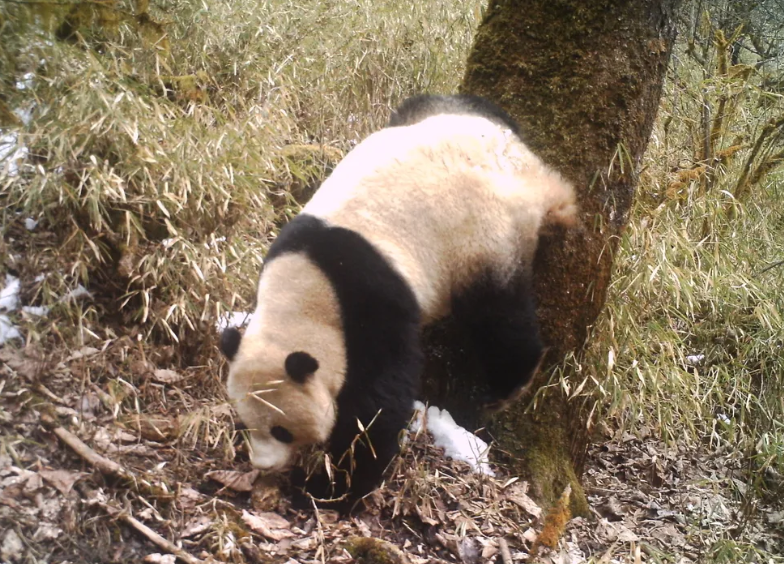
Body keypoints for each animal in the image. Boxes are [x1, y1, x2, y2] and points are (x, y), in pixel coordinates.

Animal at [219, 93, 576, 512]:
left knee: (499, 315)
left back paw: (507, 387)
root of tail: (524, 167)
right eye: (247, 423)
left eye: (282, 430)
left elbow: (378, 403)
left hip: (485, 236)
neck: (303, 293)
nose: (262, 463)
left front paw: (332, 488)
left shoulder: (373, 299)